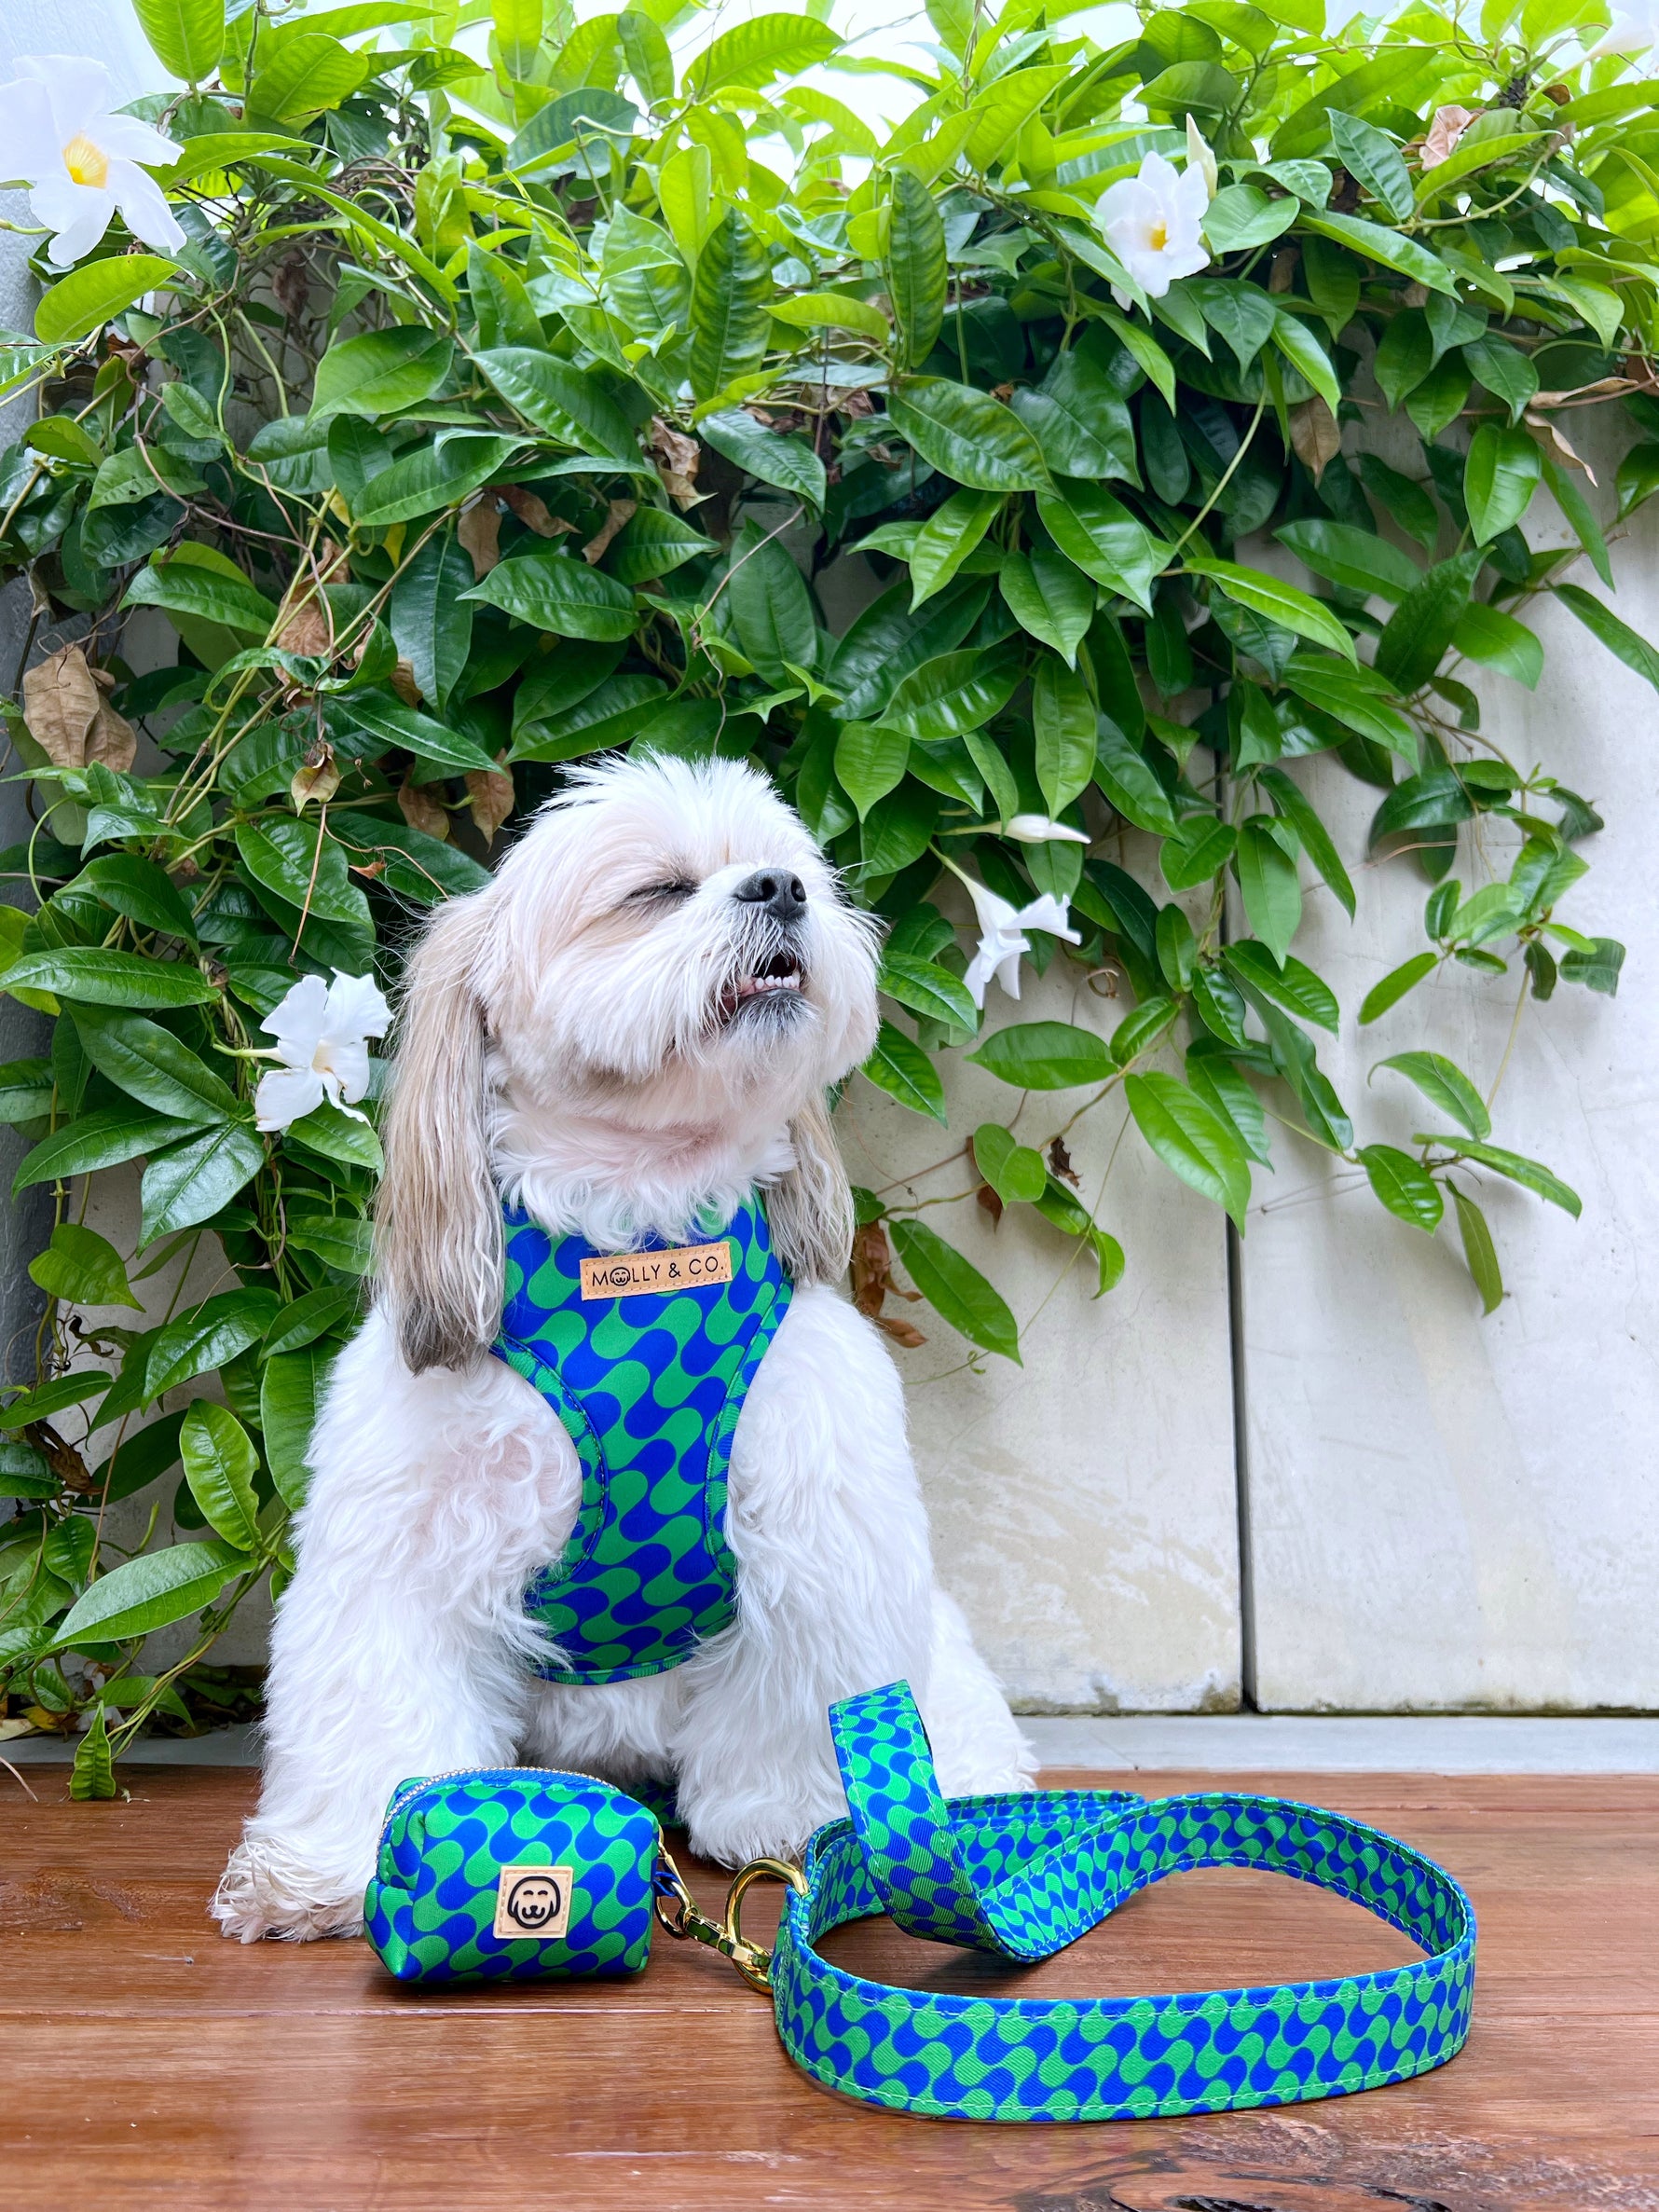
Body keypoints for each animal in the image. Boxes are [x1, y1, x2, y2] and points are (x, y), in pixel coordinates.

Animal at [214, 751, 1032, 1941]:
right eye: (656, 891)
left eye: (791, 869)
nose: (779, 889)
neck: (640, 1237)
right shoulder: (405, 1558)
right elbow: (381, 1715)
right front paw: (327, 1871)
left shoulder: (812, 1536)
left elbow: (795, 1706)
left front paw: (790, 1825)